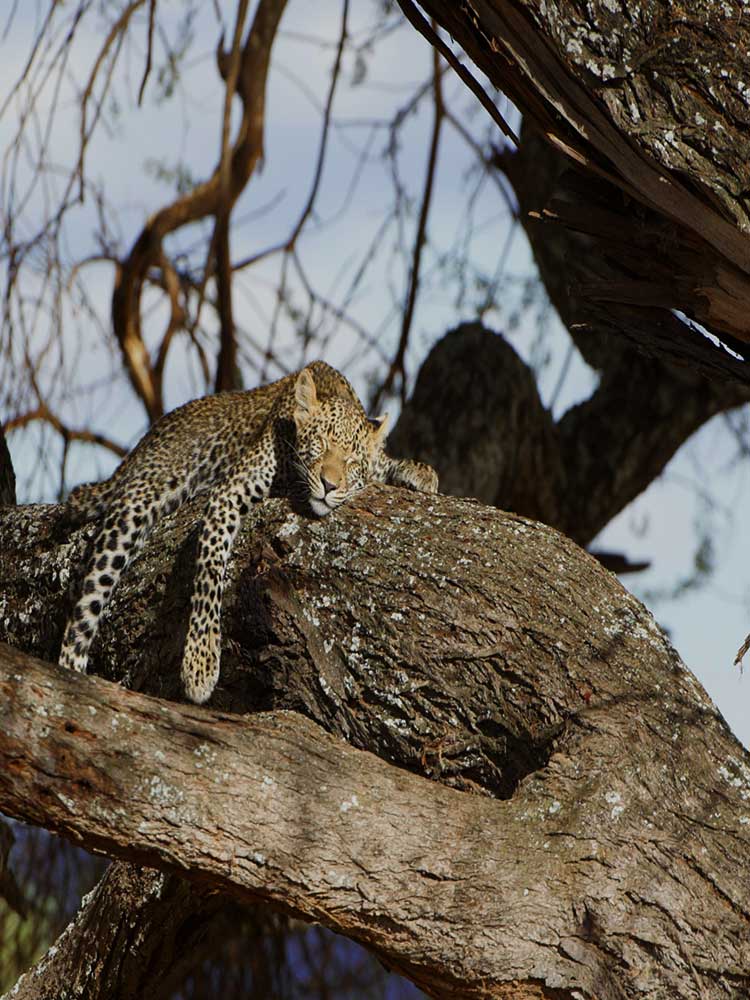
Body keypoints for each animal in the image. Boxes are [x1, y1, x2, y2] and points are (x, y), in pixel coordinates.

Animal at [59, 361, 438, 704]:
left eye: (352, 460)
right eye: (321, 443)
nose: (330, 485)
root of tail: (145, 442)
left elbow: (387, 464)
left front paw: (419, 472)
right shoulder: (227, 494)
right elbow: (210, 574)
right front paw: (201, 662)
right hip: (136, 506)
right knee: (84, 613)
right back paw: (71, 676)